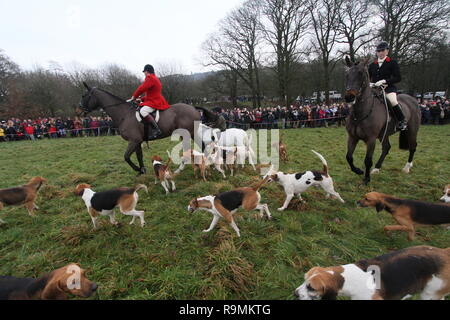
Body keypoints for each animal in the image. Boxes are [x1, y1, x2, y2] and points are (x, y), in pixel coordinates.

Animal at [78, 82, 221, 176]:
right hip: (189, 133)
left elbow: (126, 157)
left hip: (188, 133)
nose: (78, 111)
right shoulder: (137, 141)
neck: (124, 114)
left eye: (84, 96)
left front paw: (138, 169)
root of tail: (193, 107)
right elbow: (139, 156)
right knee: (201, 146)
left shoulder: (133, 140)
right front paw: (142, 170)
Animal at [344, 56, 422, 184]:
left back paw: (407, 167)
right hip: (384, 134)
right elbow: (349, 157)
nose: (349, 97)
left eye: (361, 74)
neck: (360, 113)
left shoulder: (371, 139)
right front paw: (358, 171)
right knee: (386, 148)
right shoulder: (352, 137)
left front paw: (366, 179)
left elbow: (367, 160)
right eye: (347, 74)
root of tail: (413, 99)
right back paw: (377, 168)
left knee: (412, 146)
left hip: (412, 130)